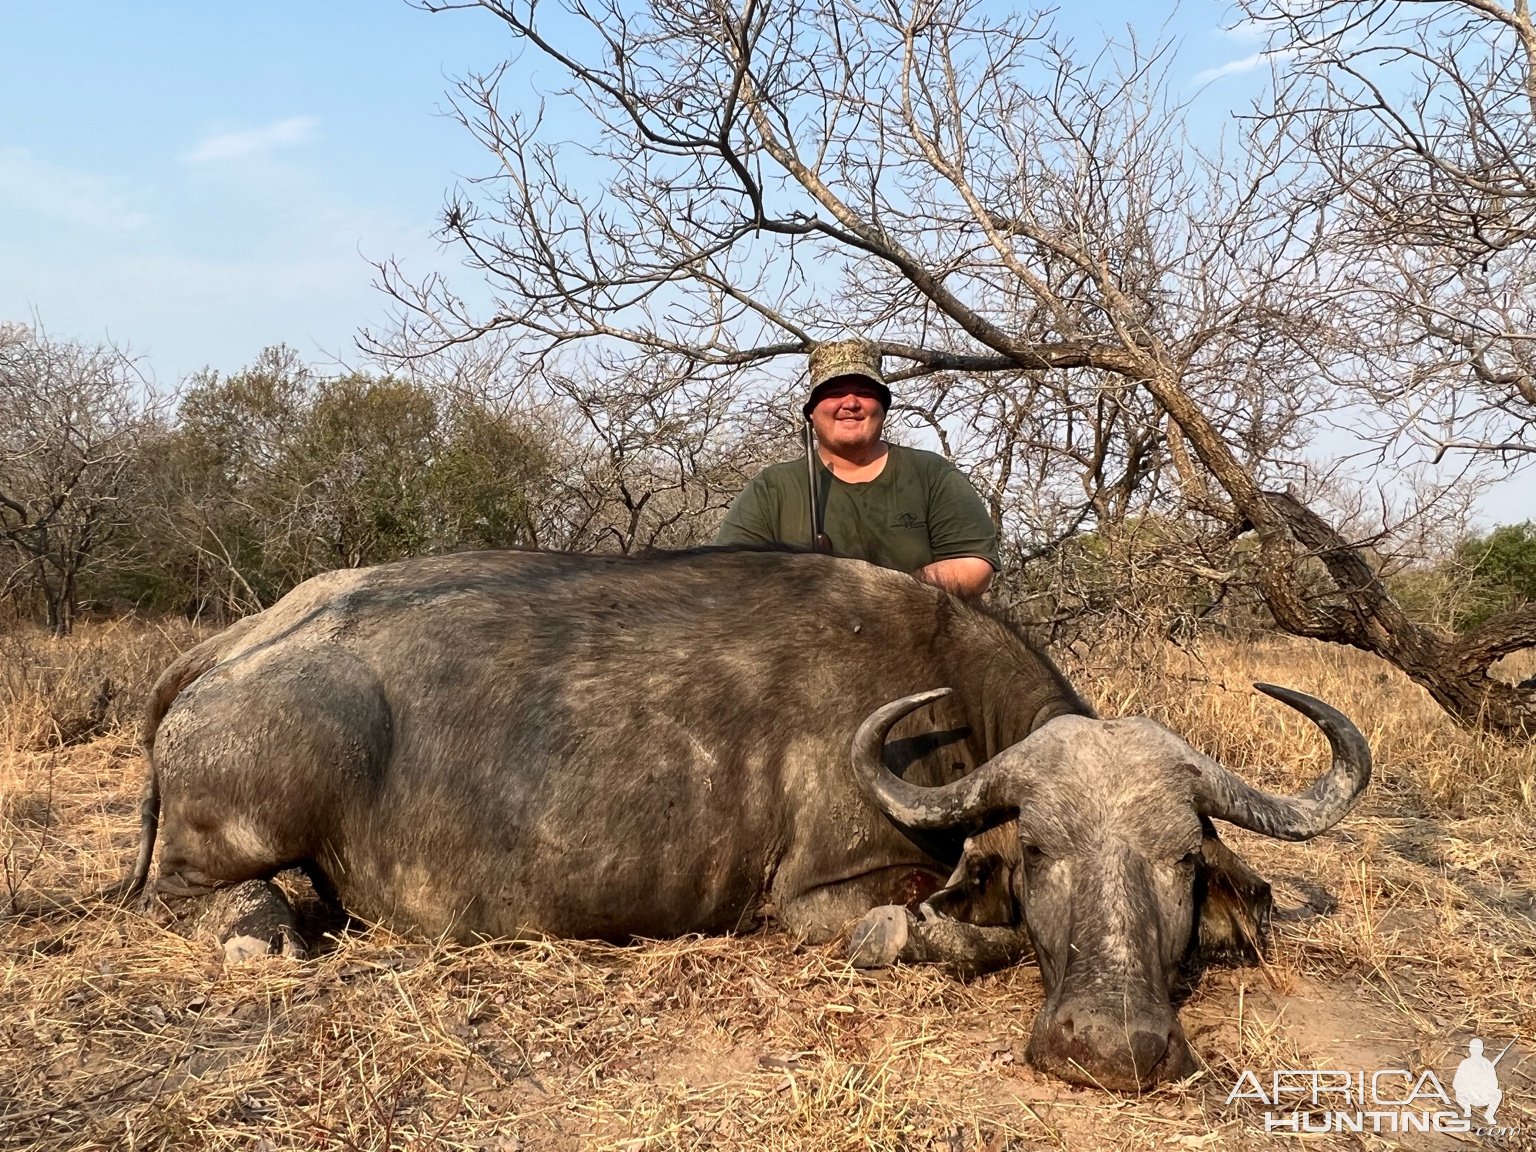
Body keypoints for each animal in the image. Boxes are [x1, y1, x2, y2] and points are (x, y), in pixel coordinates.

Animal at [122, 546, 1370, 1093]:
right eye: (1043, 850)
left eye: (1180, 861)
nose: (1109, 1049)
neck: (947, 701)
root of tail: (242, 643)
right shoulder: (820, 897)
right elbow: (922, 929)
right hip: (243, 826)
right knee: (201, 898)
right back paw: (264, 933)